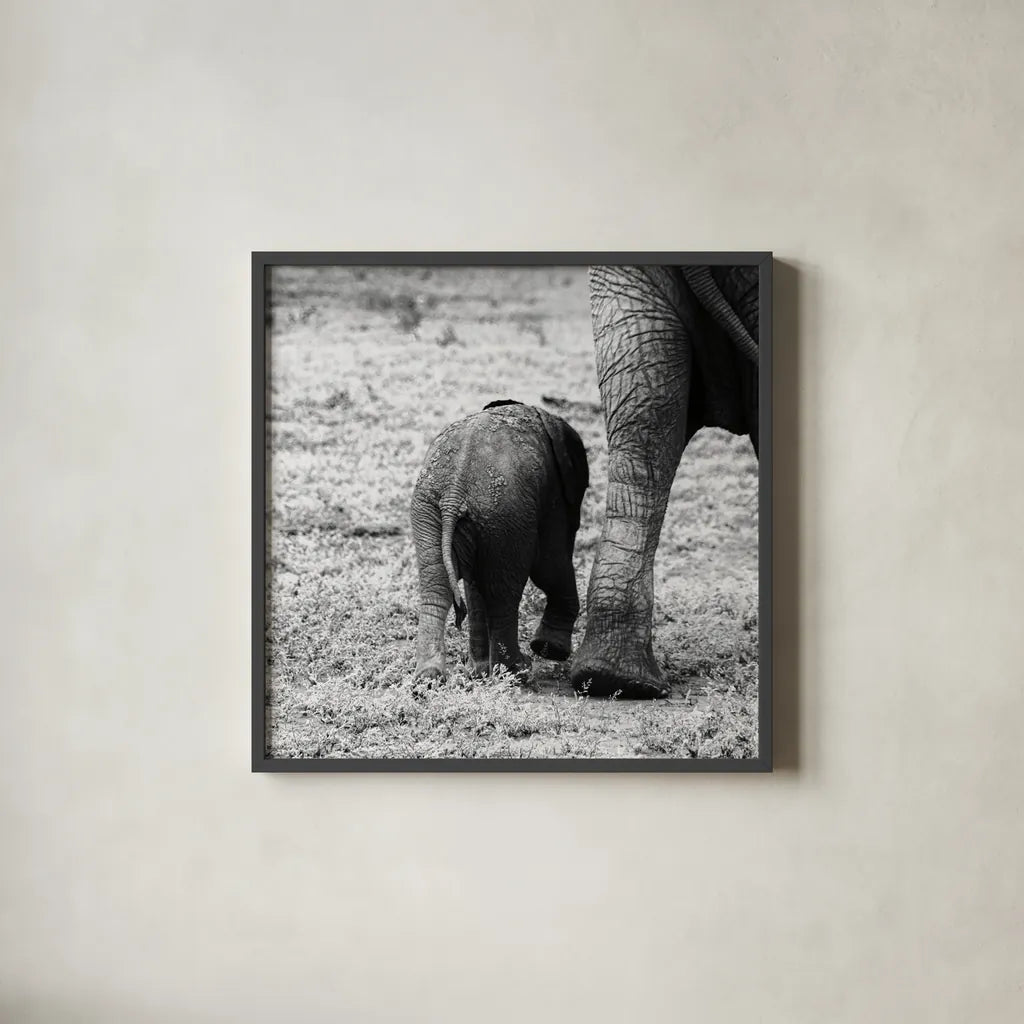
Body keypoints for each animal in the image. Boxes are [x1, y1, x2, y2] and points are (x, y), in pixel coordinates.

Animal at [410, 399, 589, 680]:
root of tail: (453, 493)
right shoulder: (553, 494)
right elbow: (549, 563)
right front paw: (551, 650)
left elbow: (474, 585)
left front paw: (480, 670)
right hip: (504, 511)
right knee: (503, 592)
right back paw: (517, 670)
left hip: (432, 509)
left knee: (437, 583)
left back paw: (431, 677)